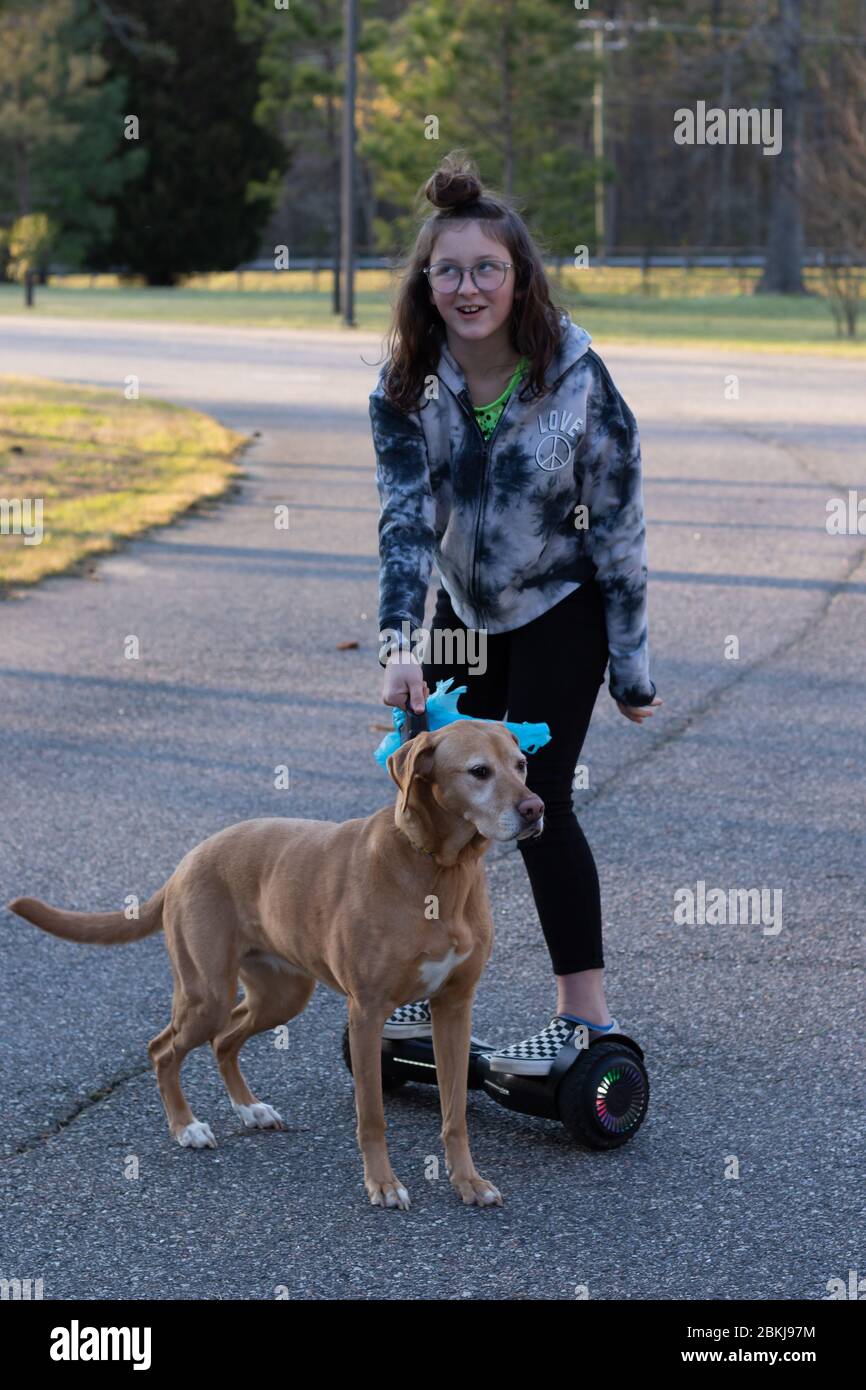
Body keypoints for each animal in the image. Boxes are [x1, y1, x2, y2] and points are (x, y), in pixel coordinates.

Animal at [8, 722, 542, 1212]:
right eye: (478, 771)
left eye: (521, 765)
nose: (535, 809)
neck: (439, 869)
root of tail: (188, 859)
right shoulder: (367, 1014)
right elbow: (372, 1115)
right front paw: (382, 1184)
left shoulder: (453, 1008)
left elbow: (455, 1113)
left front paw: (467, 1181)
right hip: (207, 994)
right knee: (163, 1049)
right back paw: (186, 1127)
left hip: (281, 996)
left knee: (224, 1041)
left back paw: (249, 1109)